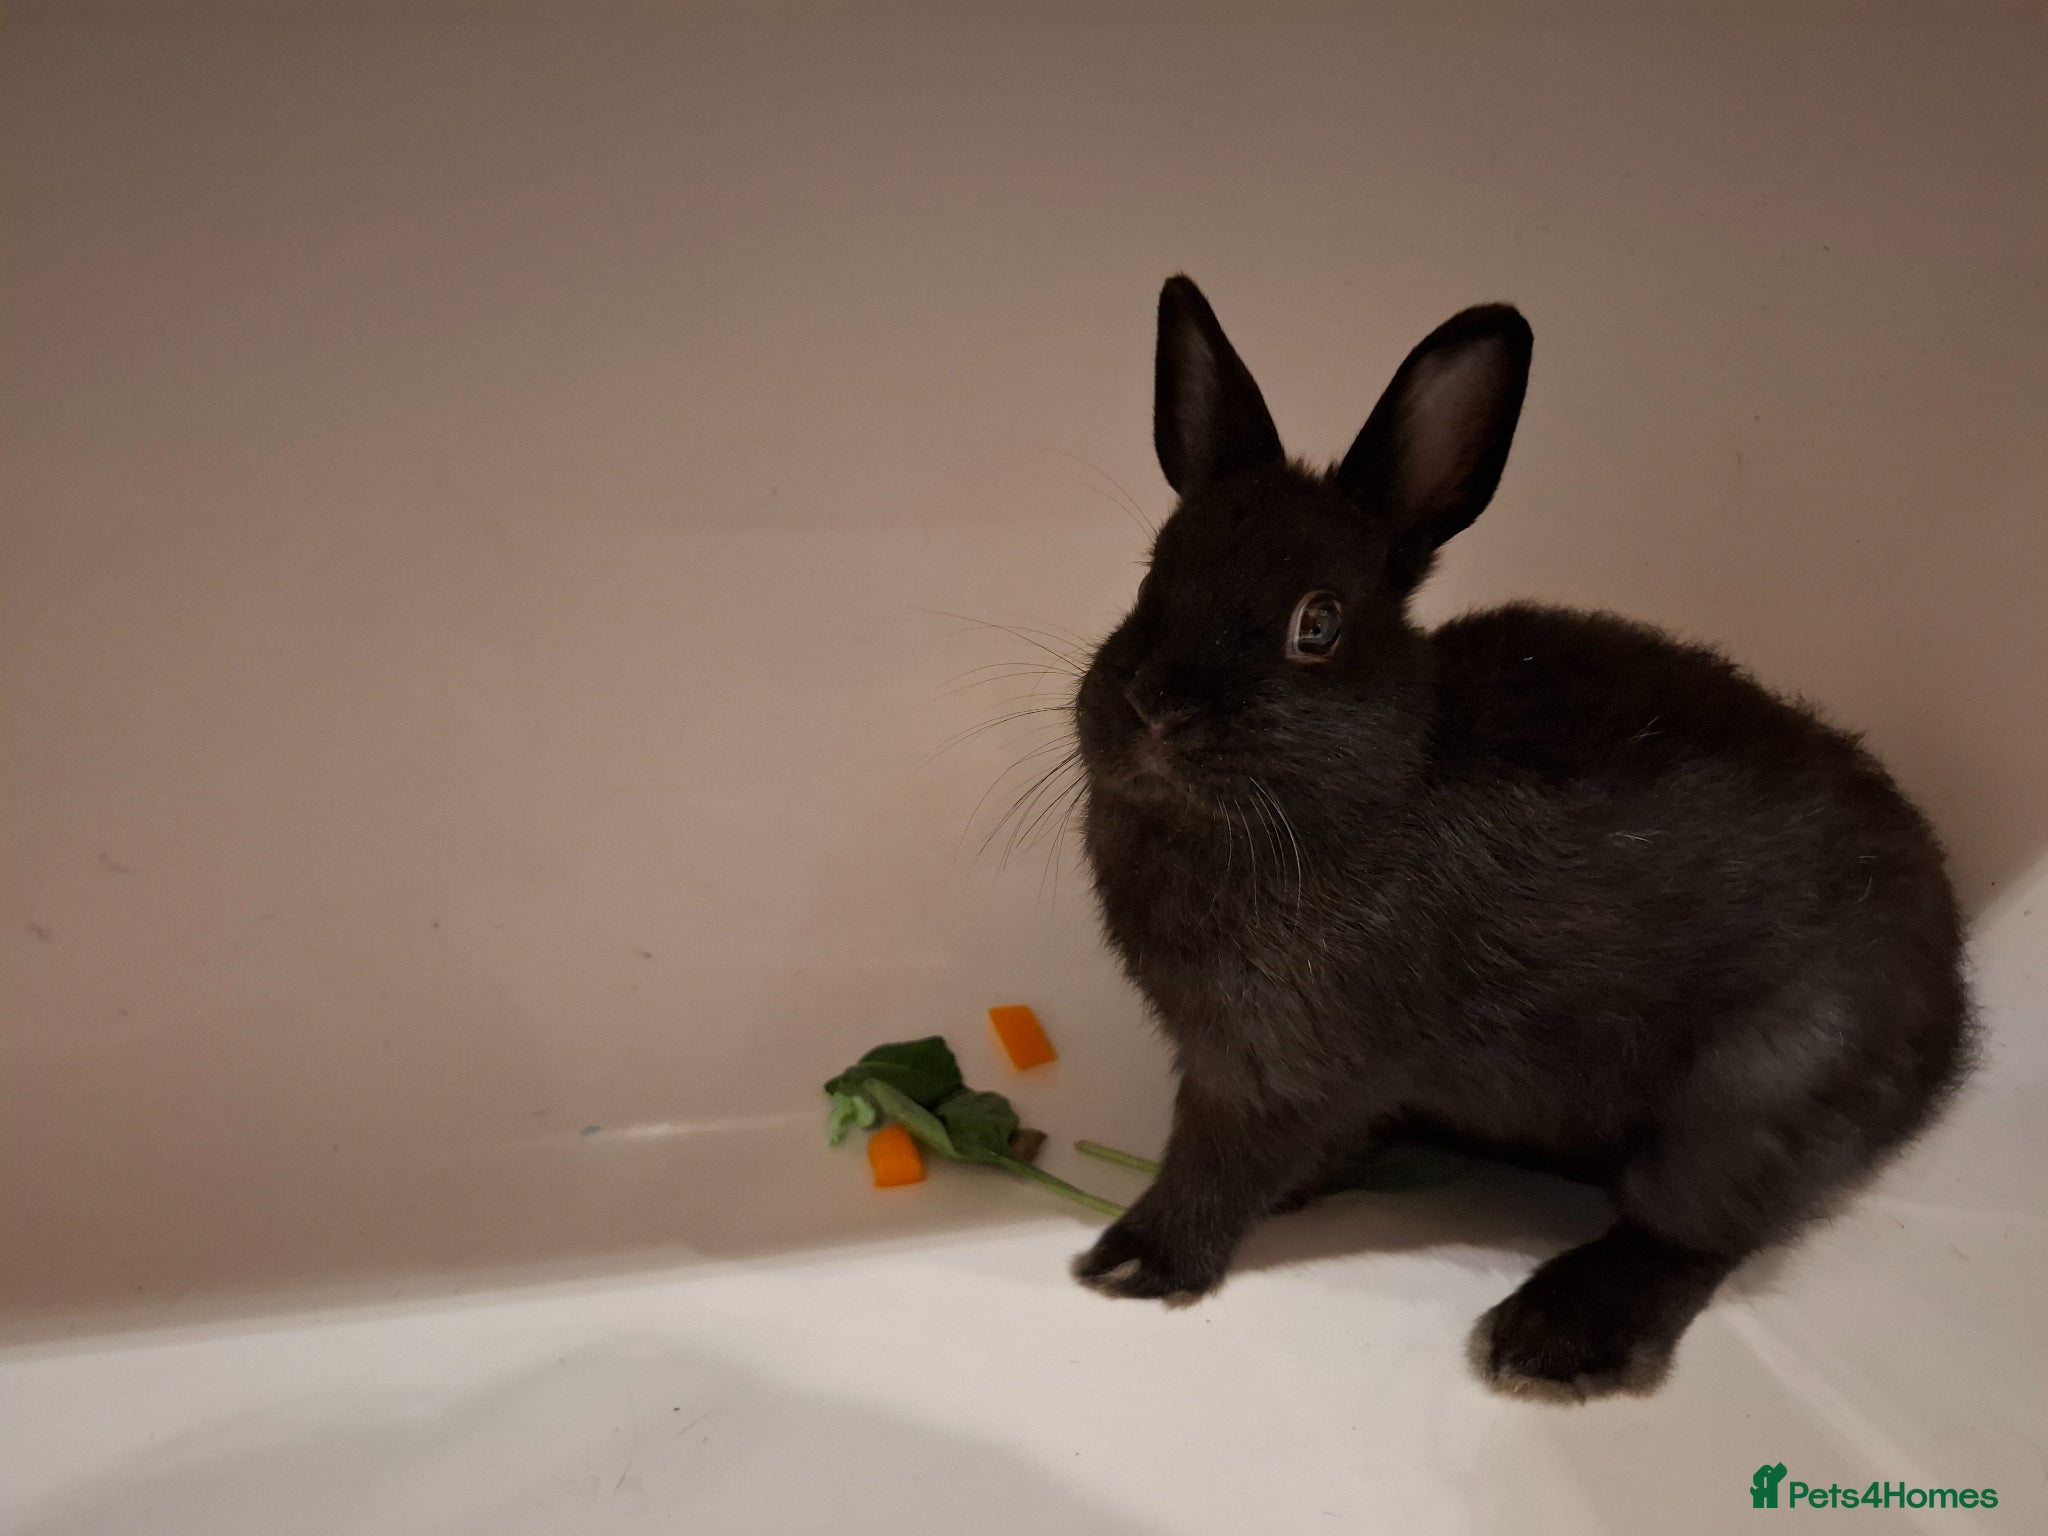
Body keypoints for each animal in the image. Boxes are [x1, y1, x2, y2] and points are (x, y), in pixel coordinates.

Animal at [1069, 275, 1973, 1401]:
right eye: (1154, 573)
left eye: (1316, 625)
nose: (1152, 709)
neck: (1372, 787)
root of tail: (1951, 1014)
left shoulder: (1270, 1069)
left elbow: (1216, 1167)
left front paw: (1127, 1261)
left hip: (1754, 1092)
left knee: (1692, 1232)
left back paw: (1548, 1339)